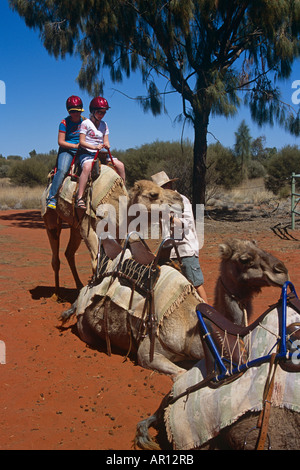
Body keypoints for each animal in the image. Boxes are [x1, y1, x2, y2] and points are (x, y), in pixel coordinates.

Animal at [72, 239, 288, 378]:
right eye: (244, 259)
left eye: (259, 247)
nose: (282, 270)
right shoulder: (148, 353)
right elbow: (179, 373)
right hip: (85, 327)